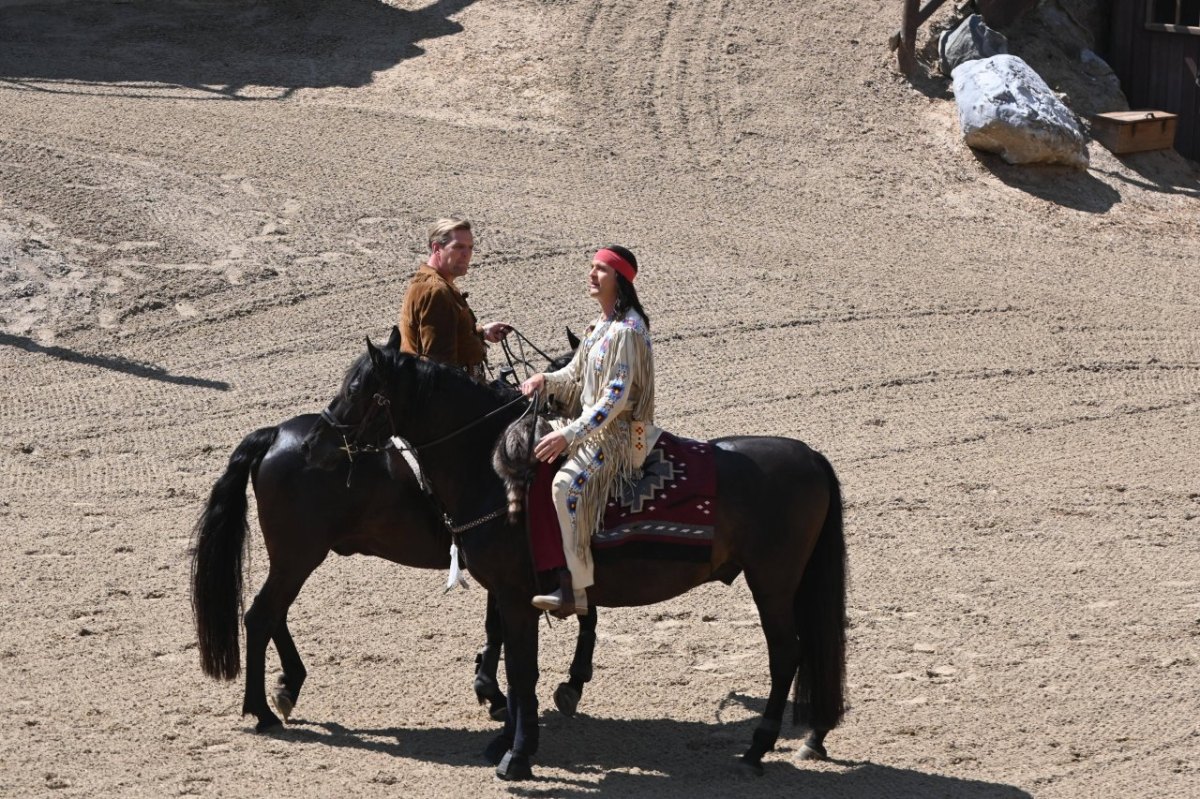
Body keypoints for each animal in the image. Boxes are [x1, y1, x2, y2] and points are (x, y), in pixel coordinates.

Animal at [189, 333, 597, 729]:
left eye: (354, 388)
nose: (312, 445)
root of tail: (277, 434)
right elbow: (575, 611)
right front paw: (564, 683)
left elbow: (503, 621)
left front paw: (492, 687)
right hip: (296, 557)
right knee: (261, 616)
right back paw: (262, 710)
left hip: (294, 558)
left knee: (276, 614)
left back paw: (288, 684)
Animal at [302, 338, 844, 777]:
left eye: (356, 387)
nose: (311, 444)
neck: (493, 472)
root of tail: (810, 456)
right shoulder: (510, 594)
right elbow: (517, 663)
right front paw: (507, 738)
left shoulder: (516, 595)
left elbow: (522, 670)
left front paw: (517, 755)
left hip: (772, 581)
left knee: (786, 653)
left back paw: (757, 748)